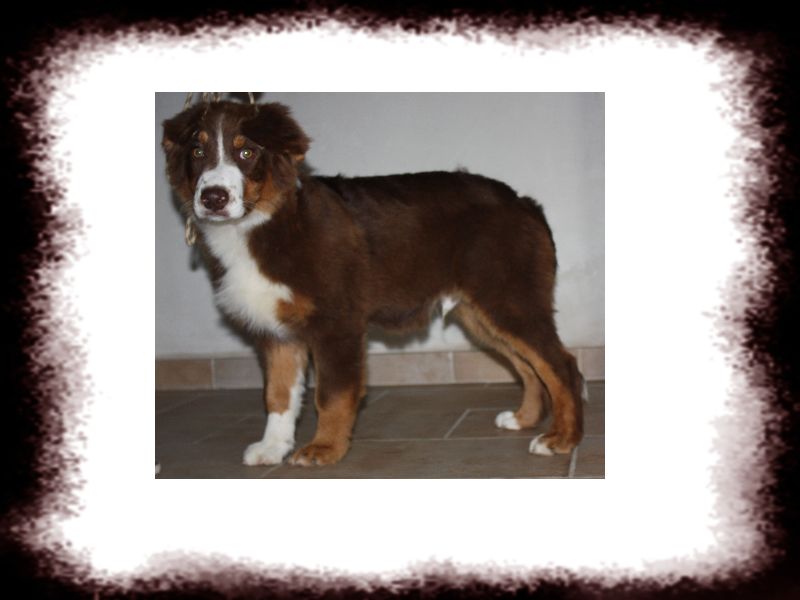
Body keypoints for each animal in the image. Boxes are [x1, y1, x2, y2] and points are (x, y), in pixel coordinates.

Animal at [161, 100, 584, 467]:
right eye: (197, 151)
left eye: (247, 152)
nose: (213, 197)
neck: (265, 224)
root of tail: (524, 202)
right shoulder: (276, 332)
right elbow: (278, 395)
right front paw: (272, 447)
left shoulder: (337, 323)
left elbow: (331, 394)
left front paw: (325, 448)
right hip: (481, 313)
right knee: (529, 367)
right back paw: (524, 418)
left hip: (510, 298)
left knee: (561, 365)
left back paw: (563, 439)